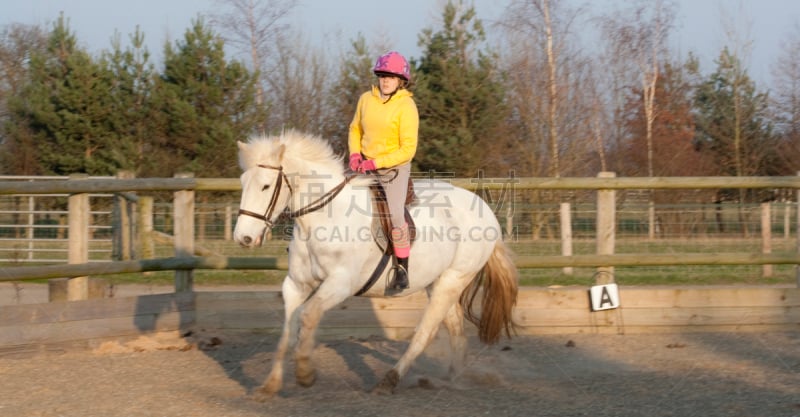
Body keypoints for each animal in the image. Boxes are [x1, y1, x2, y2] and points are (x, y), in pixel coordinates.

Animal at [233, 130, 520, 396]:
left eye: (266, 186)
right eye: (243, 183)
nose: (243, 238)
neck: (324, 217)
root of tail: (485, 210)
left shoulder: (340, 284)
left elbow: (308, 315)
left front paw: (305, 373)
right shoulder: (295, 285)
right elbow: (286, 332)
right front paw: (270, 385)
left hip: (453, 279)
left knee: (425, 332)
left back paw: (390, 380)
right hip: (437, 282)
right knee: (455, 330)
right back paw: (451, 380)